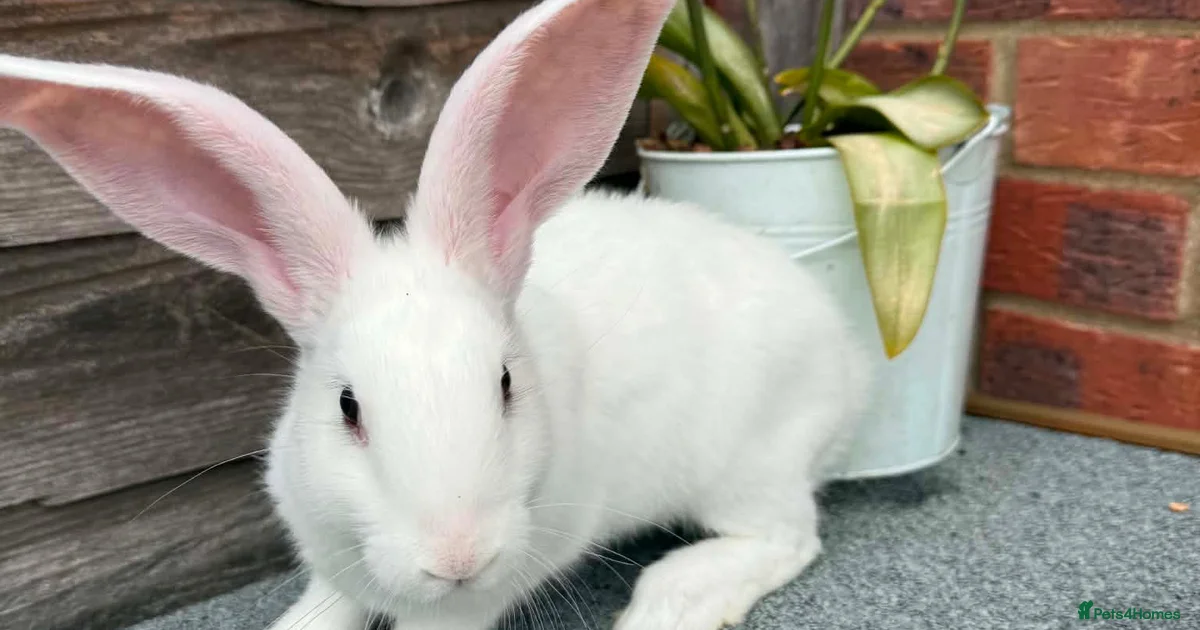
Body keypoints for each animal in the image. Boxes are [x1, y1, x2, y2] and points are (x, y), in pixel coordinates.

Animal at [0, 0, 873, 628]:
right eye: (347, 406)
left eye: (505, 385)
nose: (457, 558)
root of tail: (850, 355)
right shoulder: (331, 566)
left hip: (751, 461)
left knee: (787, 535)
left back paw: (671, 604)